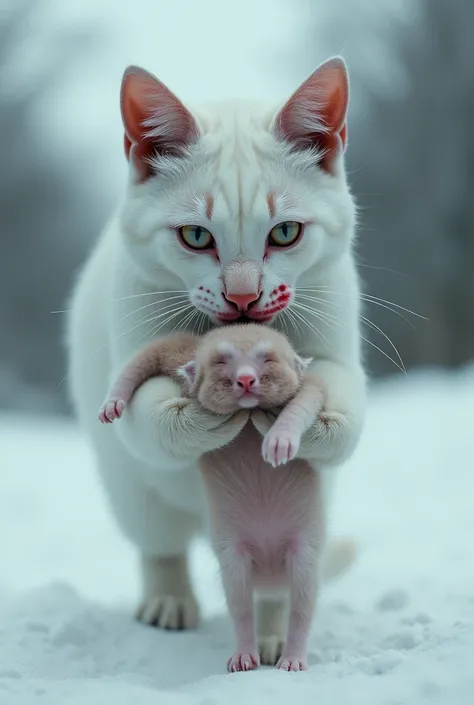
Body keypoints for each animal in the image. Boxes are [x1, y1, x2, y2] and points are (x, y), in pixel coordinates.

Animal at [67, 55, 366, 656]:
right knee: (161, 545)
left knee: (278, 582)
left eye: (286, 231)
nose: (244, 297)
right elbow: (148, 412)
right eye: (196, 236)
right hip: (133, 495)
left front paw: (299, 425)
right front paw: (207, 418)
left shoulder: (341, 351)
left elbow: (344, 409)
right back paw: (169, 602)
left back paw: (273, 635)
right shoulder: (134, 345)